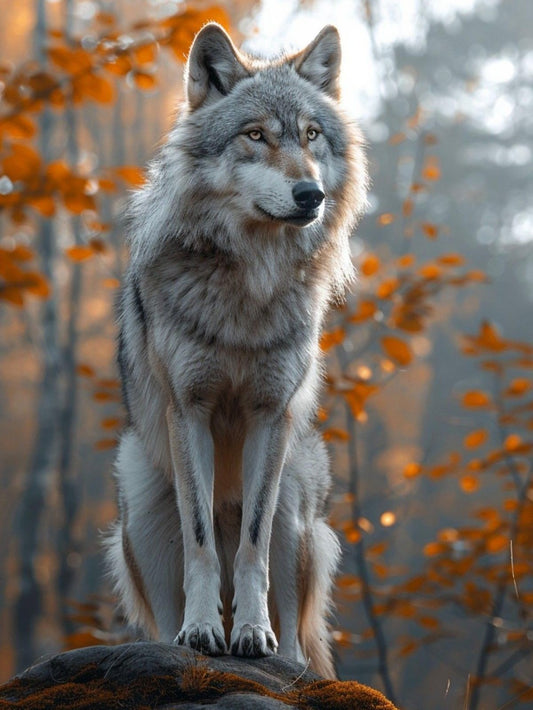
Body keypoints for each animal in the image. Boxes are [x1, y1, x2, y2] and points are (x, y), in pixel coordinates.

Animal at [105, 22, 367, 678]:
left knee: (297, 631)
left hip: (299, 504)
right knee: (162, 612)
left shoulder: (269, 417)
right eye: (256, 135)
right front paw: (203, 632)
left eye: (311, 135)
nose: (311, 194)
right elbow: (202, 542)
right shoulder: (189, 410)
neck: (250, 283)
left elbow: (252, 544)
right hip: (140, 495)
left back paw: (287, 661)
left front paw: (249, 633)